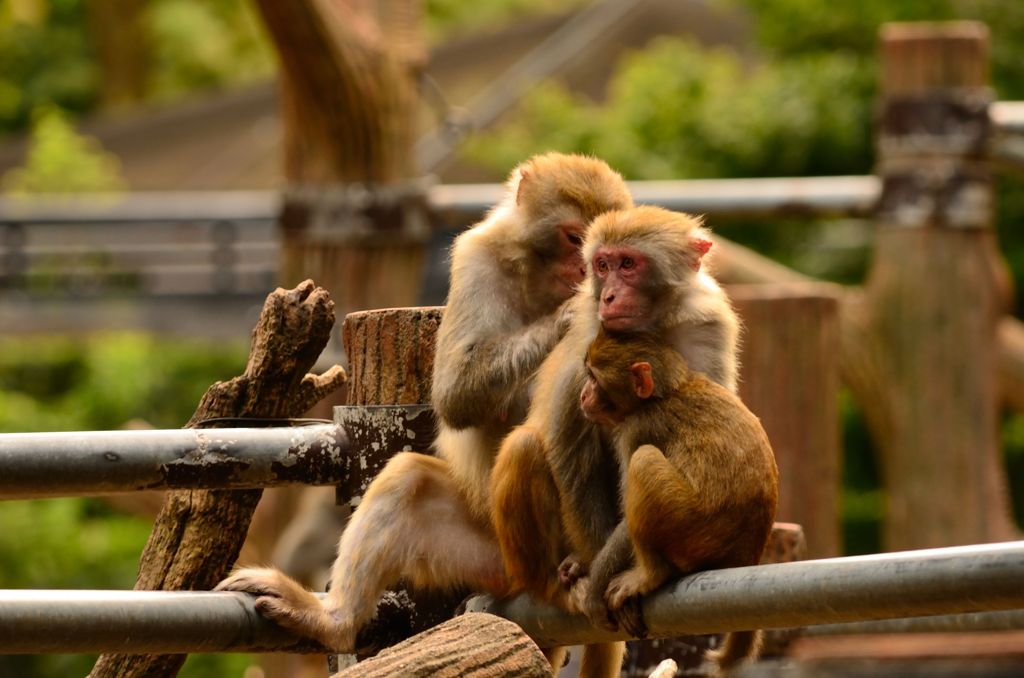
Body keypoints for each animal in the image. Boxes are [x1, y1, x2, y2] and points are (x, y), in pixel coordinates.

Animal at [216, 151, 630, 655]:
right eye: (575, 239)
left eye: (602, 257)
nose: (589, 279)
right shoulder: (477, 258)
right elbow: (456, 393)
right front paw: (569, 315)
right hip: (488, 553)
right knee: (409, 479)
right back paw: (332, 620)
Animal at [491, 204, 741, 675]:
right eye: (602, 266)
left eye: (628, 264)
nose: (607, 296)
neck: (650, 330)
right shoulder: (587, 349)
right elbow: (573, 456)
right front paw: (593, 577)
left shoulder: (708, 330)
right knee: (525, 448)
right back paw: (557, 581)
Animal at [577, 329, 774, 675]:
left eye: (594, 378)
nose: (584, 394)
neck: (666, 392)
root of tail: (746, 555)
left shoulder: (638, 427)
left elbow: (626, 521)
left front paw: (594, 591)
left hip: (687, 526)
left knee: (644, 460)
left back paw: (650, 574)